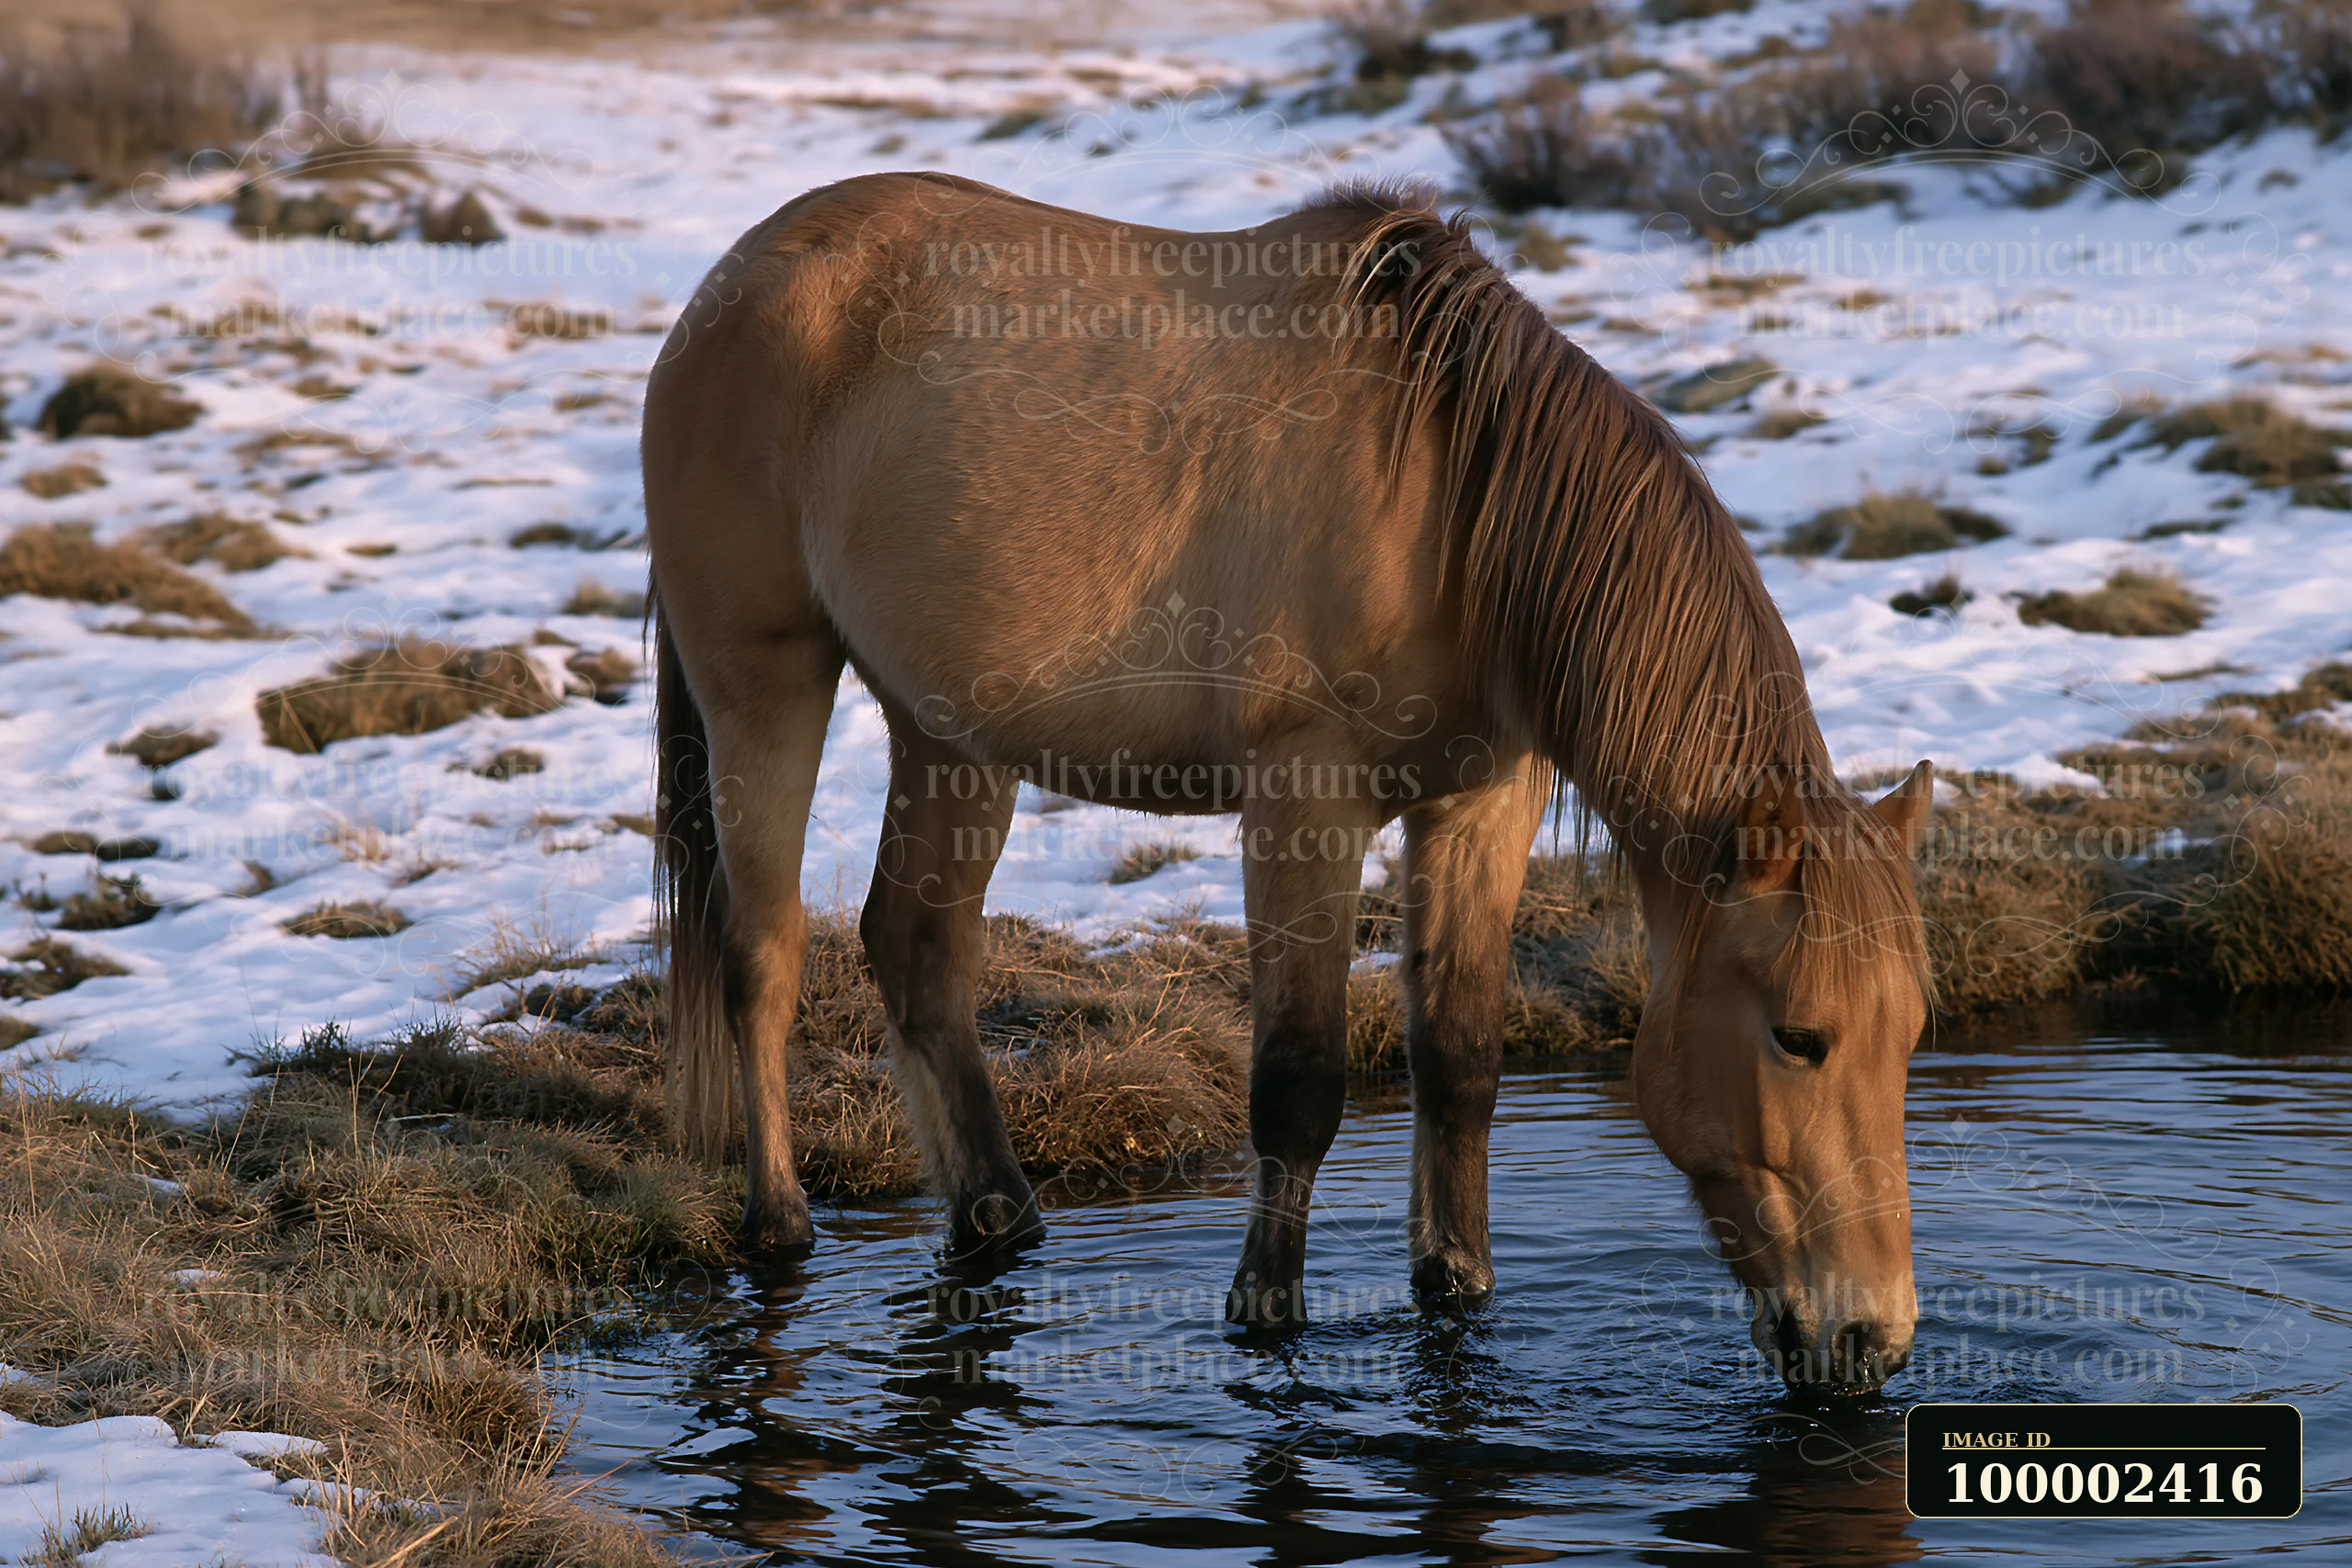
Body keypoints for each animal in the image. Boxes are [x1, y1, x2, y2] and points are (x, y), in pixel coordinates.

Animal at [642, 171, 1936, 1394]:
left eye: (1911, 1031)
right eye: (1800, 1036)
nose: (1869, 1341)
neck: (1449, 496)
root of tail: (735, 285)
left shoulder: (1481, 803)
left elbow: (1459, 1059)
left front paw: (1455, 1288)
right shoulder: (1303, 802)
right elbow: (1299, 1082)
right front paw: (1266, 1315)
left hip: (948, 731)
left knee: (915, 948)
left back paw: (1000, 1221)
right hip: (764, 679)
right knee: (761, 953)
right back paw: (779, 1225)